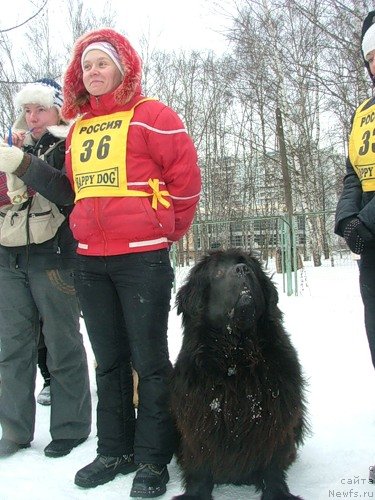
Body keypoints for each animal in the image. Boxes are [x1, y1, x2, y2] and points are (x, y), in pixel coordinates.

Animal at [170, 249, 308, 500]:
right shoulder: (199, 418)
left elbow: (272, 463)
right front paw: (196, 493)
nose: (242, 270)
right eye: (217, 272)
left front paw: (277, 492)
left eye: (249, 267)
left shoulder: (275, 417)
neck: (237, 355)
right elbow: (200, 462)